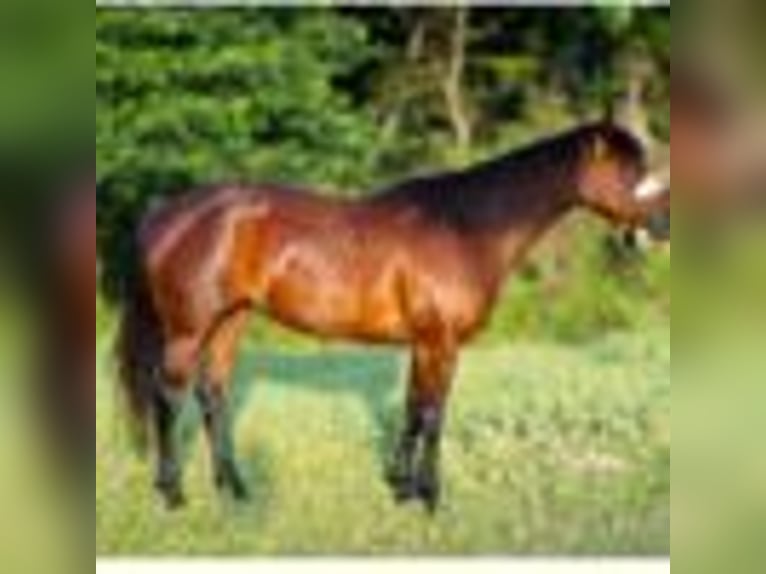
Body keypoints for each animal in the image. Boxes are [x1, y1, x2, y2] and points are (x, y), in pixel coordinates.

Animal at [114, 122, 669, 511]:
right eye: (628, 171)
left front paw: (401, 487)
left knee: (212, 395)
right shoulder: (441, 342)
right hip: (188, 330)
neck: (465, 227)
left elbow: (412, 409)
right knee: (168, 397)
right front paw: (431, 496)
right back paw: (173, 493)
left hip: (230, 321)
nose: (659, 228)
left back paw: (235, 488)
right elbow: (435, 414)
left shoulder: (423, 343)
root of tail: (166, 211)